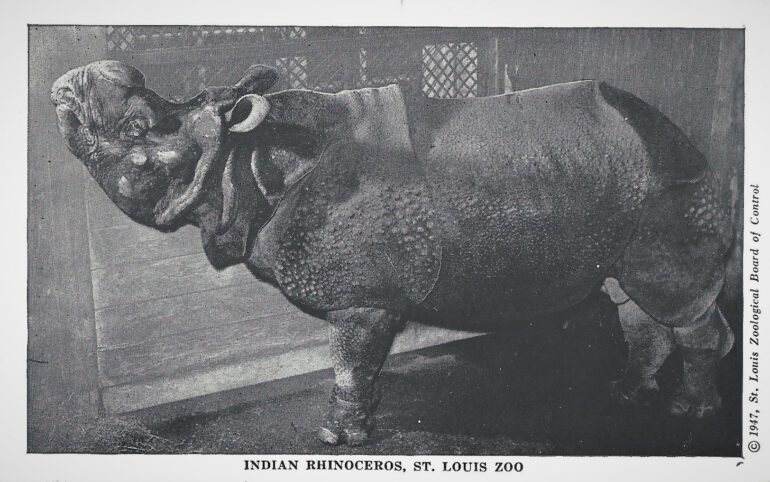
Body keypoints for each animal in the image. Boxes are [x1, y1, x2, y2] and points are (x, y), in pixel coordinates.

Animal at [51, 60, 736, 446]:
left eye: (135, 132)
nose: (66, 84)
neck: (244, 161)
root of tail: (678, 131)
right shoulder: (371, 296)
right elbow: (362, 364)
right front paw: (365, 418)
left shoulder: (362, 296)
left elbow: (348, 361)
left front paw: (337, 438)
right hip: (624, 182)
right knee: (637, 299)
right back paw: (626, 394)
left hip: (669, 185)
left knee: (675, 298)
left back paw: (692, 411)